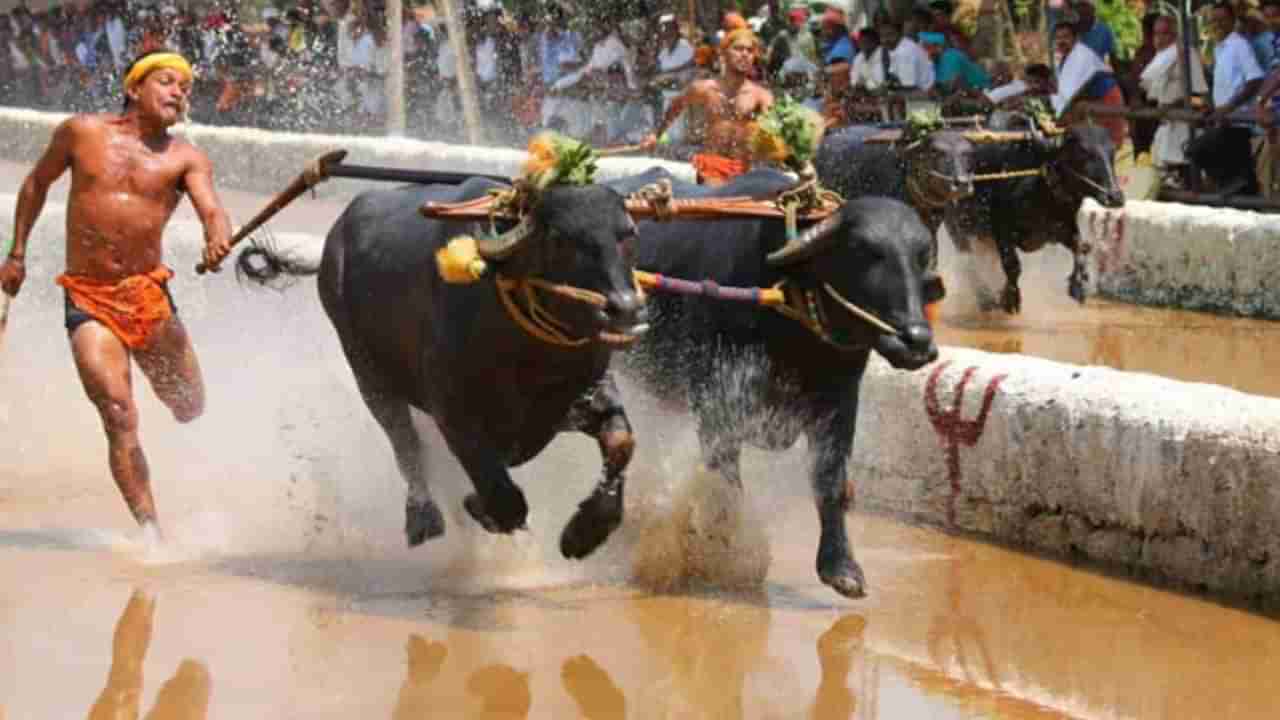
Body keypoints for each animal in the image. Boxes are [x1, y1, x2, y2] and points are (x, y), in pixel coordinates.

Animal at [243, 176, 650, 558]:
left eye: (628, 234)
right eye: (560, 239)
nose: (625, 309)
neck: (532, 354)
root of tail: (331, 247)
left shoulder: (586, 393)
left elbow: (622, 442)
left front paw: (587, 532)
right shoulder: (453, 413)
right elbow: (500, 492)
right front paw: (479, 508)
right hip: (367, 372)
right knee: (404, 444)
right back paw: (422, 516)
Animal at [604, 166, 947, 594]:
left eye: (921, 257)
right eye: (862, 251)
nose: (916, 340)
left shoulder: (838, 403)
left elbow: (831, 482)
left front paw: (842, 568)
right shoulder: (717, 405)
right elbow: (726, 482)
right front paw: (727, 555)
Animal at [947, 121, 1126, 312]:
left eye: (1112, 152)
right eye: (1083, 152)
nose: (1115, 197)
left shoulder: (1062, 231)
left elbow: (1081, 248)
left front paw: (1077, 287)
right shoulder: (1001, 230)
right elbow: (1013, 266)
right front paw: (1010, 298)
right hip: (959, 231)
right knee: (968, 262)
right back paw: (985, 299)